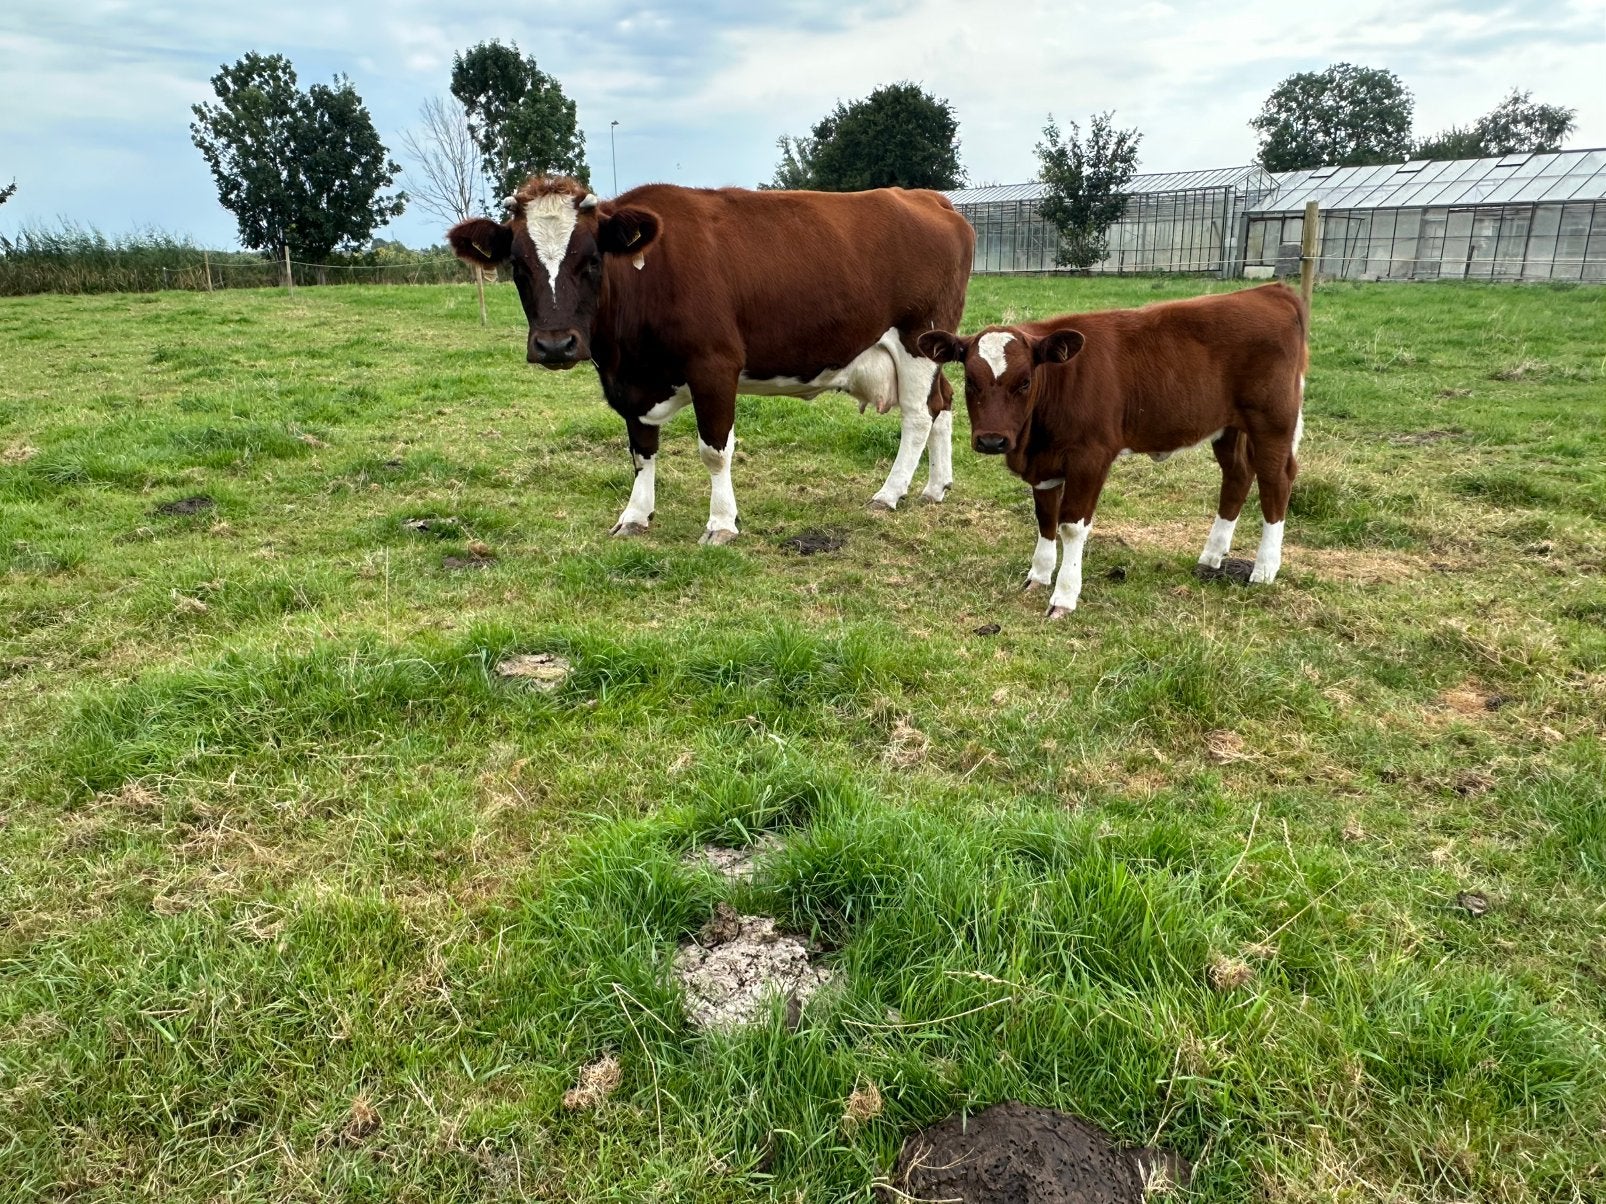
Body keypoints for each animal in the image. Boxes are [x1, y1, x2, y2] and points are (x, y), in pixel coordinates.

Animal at [446, 176, 975, 544]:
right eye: (518, 266)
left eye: (592, 260)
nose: (556, 345)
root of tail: (929, 198)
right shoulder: (630, 383)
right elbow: (641, 450)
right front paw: (634, 515)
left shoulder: (715, 367)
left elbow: (715, 450)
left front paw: (722, 523)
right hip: (930, 348)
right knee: (942, 403)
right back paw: (935, 487)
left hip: (916, 339)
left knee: (916, 416)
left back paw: (889, 494)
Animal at [917, 284, 1307, 618]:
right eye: (970, 380)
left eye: (1025, 381)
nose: (992, 441)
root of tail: (1271, 291)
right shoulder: (1044, 465)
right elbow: (1045, 518)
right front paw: (1038, 576)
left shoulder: (1091, 458)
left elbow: (1071, 526)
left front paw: (1064, 596)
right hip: (1226, 427)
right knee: (1237, 476)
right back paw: (1211, 556)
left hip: (1272, 423)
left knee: (1276, 481)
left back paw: (1265, 569)